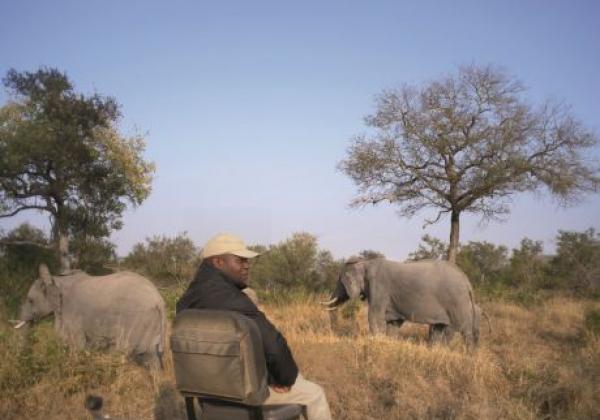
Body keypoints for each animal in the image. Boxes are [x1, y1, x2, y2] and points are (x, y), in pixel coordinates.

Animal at [16, 266, 166, 368]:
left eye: (30, 300)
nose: (25, 357)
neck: (57, 279)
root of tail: (159, 300)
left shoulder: (71, 312)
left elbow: (75, 343)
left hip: (135, 320)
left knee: (124, 352)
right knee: (151, 356)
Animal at [322, 258, 480, 346]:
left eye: (340, 283)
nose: (333, 332)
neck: (364, 262)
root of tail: (468, 283)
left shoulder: (379, 287)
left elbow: (374, 315)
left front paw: (375, 340)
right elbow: (394, 323)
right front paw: (388, 342)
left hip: (456, 302)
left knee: (459, 331)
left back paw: (467, 356)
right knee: (439, 329)